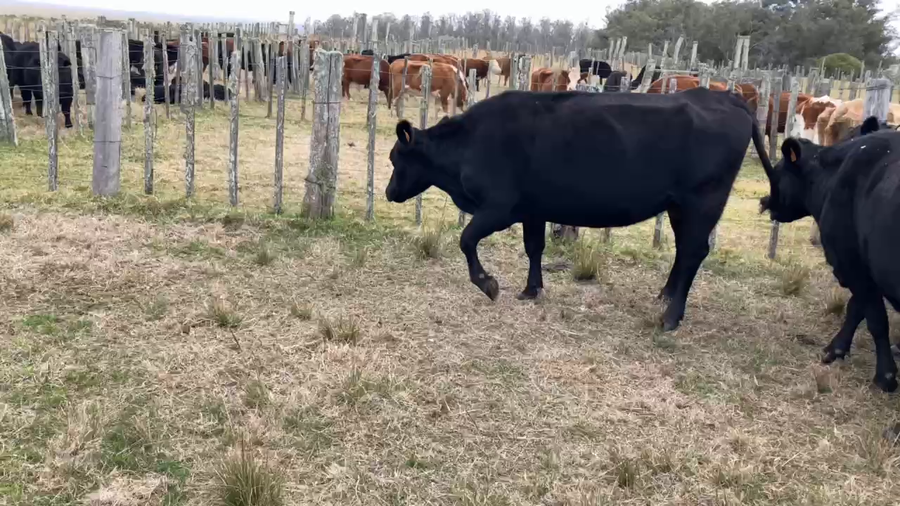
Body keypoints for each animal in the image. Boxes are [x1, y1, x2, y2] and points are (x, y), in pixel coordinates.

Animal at [385, 87, 775, 331]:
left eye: (394, 158)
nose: (388, 192)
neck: (471, 143)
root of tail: (724, 96)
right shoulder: (533, 207)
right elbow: (534, 247)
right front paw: (531, 290)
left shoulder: (498, 207)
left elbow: (466, 239)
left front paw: (488, 284)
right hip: (680, 206)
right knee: (684, 251)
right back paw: (664, 296)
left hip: (702, 201)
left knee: (694, 250)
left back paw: (670, 318)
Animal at [760, 117, 900, 392]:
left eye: (778, 172)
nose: (764, 202)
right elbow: (857, 308)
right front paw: (836, 349)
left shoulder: (852, 264)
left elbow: (875, 318)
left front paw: (885, 376)